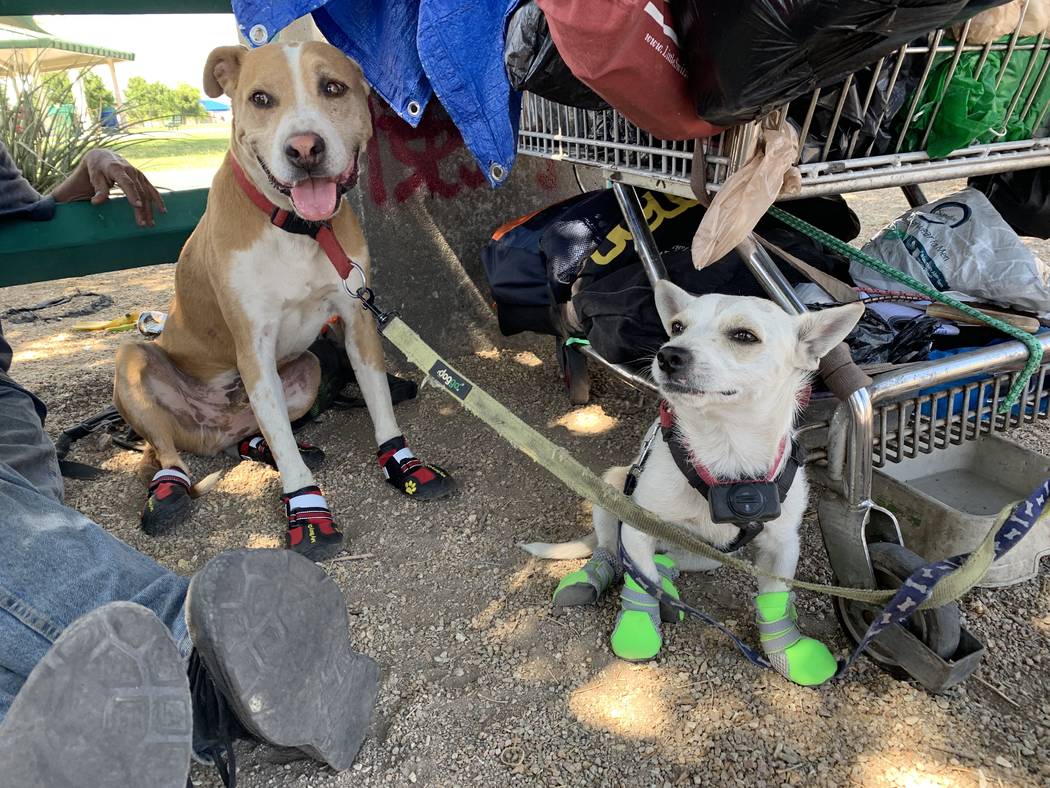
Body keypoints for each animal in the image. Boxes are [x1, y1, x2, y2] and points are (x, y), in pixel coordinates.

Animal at [112, 43, 453, 563]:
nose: (305, 148)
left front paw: (402, 464)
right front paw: (307, 511)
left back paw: (262, 446)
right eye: (260, 98)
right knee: (170, 450)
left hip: (307, 372)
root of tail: (213, 431)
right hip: (133, 362)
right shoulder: (254, 348)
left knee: (259, 432)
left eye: (333, 87)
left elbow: (379, 402)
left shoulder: (356, 319)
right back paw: (169, 492)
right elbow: (291, 457)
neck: (297, 228)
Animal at [522, 283, 860, 685]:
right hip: (613, 486)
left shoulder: (782, 546)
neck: (726, 452)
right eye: (678, 327)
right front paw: (638, 629)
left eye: (743, 336)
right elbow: (641, 581)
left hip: (709, 555)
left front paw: (789, 651)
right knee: (612, 551)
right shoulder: (636, 529)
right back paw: (592, 579)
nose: (668, 354)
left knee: (668, 560)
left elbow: (775, 602)